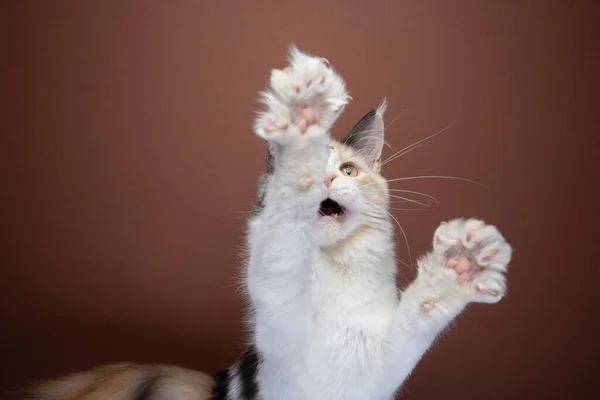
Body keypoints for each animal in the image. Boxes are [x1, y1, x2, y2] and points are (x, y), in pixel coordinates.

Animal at [18, 47, 510, 400]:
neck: (334, 273)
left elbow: (425, 307)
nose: (328, 178)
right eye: (322, 167)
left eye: (348, 170)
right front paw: (303, 119)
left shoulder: (376, 366)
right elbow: (281, 249)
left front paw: (462, 262)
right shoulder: (280, 327)